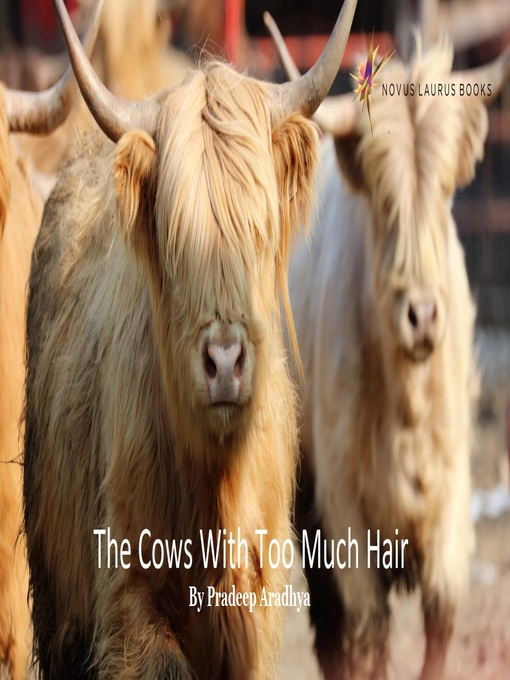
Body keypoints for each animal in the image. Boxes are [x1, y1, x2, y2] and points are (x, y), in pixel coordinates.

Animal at [266, 14, 510, 680]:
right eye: (382, 200)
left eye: (446, 194)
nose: (422, 317)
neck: (407, 401)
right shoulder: (347, 510)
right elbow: (369, 637)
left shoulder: (449, 503)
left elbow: (440, 627)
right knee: (333, 635)